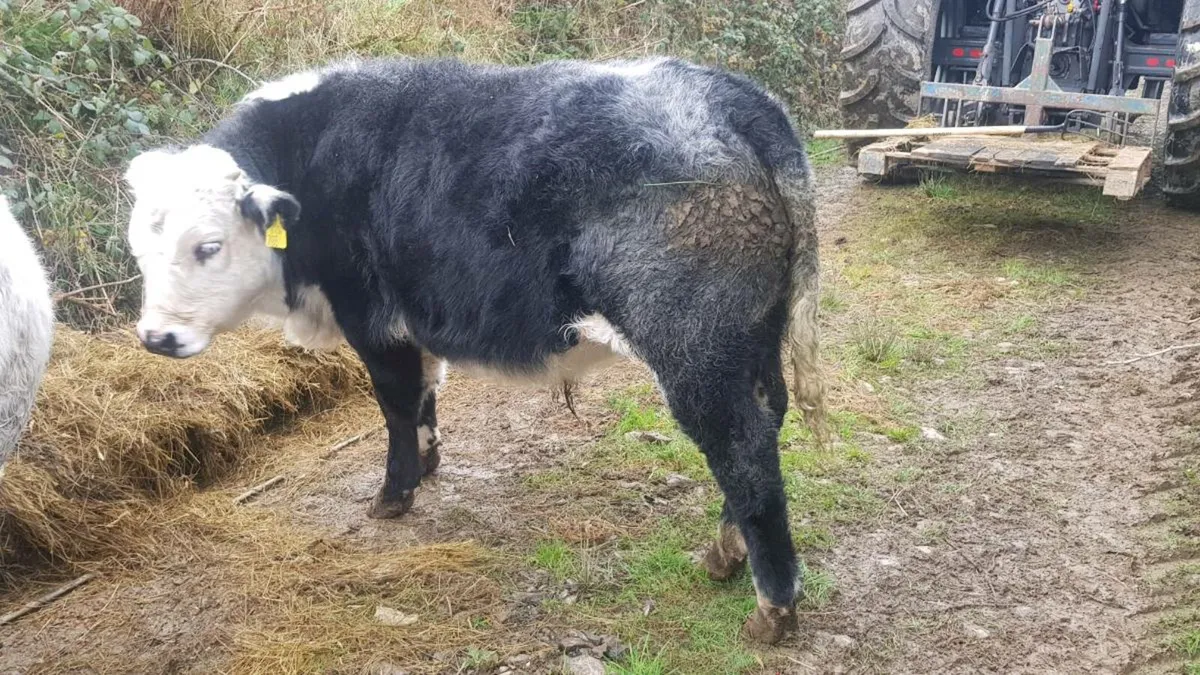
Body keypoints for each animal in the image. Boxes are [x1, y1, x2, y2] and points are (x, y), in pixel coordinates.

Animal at [122, 56, 825, 643]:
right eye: (138, 247)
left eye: (207, 245)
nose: (156, 338)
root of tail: (730, 95)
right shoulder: (413, 321)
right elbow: (427, 394)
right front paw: (429, 462)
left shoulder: (372, 319)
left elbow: (397, 405)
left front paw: (395, 493)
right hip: (753, 339)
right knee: (767, 420)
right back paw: (726, 551)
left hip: (695, 347)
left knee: (742, 452)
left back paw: (772, 606)